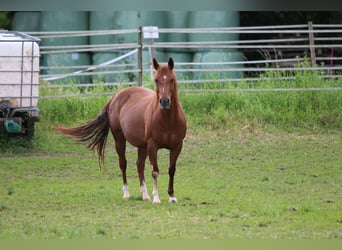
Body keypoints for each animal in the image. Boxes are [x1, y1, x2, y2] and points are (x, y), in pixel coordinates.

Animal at [54, 57, 186, 204]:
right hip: (120, 139)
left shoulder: (177, 146)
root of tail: (115, 98)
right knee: (123, 164)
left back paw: (145, 195)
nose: (164, 102)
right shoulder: (153, 146)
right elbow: (155, 171)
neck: (167, 120)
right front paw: (156, 198)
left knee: (139, 165)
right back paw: (127, 194)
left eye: (171, 79)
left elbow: (171, 170)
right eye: (156, 80)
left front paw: (172, 196)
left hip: (142, 146)